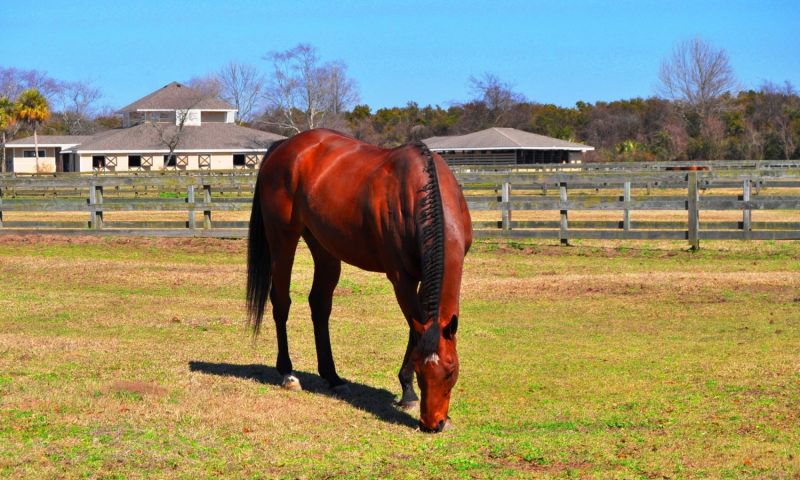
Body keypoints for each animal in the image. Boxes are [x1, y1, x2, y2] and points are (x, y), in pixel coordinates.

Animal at [247, 127, 472, 432]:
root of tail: (285, 145)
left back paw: (332, 377)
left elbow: (416, 328)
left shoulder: (423, 279)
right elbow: (413, 328)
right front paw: (409, 392)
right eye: (420, 370)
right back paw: (288, 373)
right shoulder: (401, 279)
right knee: (281, 302)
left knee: (319, 305)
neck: (419, 190)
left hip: (324, 246)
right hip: (282, 239)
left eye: (450, 371)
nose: (432, 423)